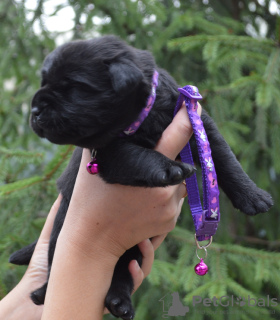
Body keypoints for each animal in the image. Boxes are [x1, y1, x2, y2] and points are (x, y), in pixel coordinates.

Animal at [9, 35, 272, 320]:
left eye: (73, 87)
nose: (34, 111)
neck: (146, 115)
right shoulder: (108, 152)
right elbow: (136, 155)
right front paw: (169, 168)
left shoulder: (200, 125)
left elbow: (224, 156)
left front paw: (253, 196)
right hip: (61, 233)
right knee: (55, 265)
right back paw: (43, 292)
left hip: (135, 247)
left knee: (122, 269)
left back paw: (119, 301)